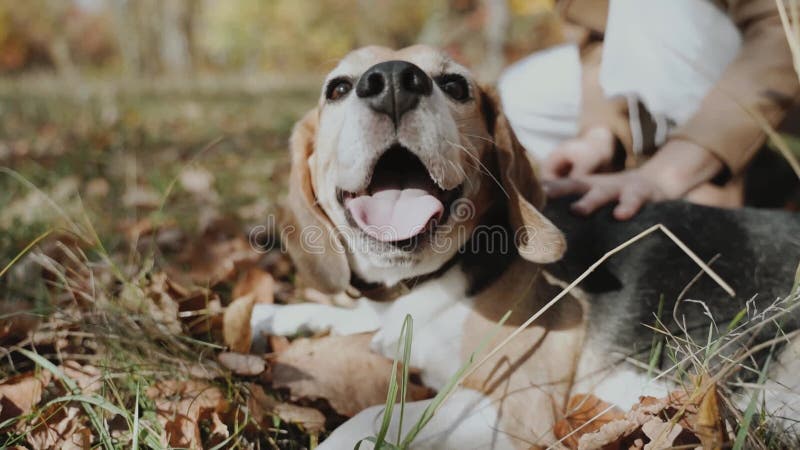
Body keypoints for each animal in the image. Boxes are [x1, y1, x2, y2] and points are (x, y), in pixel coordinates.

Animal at [253, 46, 800, 450]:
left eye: (455, 86)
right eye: (338, 88)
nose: (390, 80)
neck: (431, 278)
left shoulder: (518, 407)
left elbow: (365, 420)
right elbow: (348, 318)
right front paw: (268, 316)